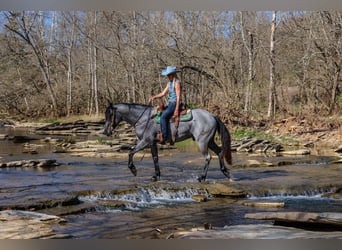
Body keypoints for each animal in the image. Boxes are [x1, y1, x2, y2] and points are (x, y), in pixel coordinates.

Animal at [103, 102, 232, 183]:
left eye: (110, 114)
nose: (105, 131)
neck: (143, 119)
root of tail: (212, 115)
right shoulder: (152, 143)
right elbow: (155, 158)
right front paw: (156, 176)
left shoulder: (145, 141)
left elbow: (131, 152)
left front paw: (133, 170)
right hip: (210, 141)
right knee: (219, 152)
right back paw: (225, 172)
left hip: (202, 142)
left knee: (208, 157)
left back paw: (202, 177)